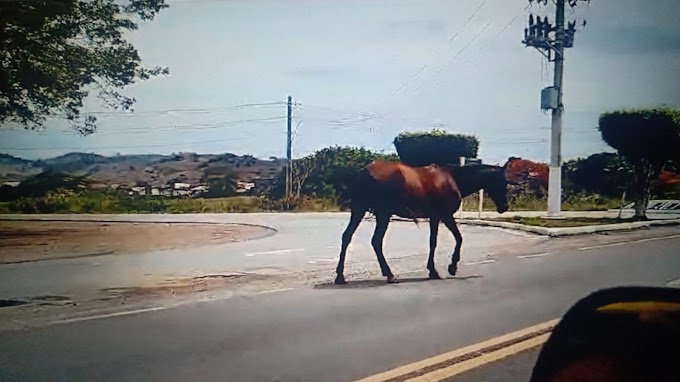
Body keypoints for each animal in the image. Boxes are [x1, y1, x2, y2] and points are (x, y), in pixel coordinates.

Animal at [334, 160, 516, 286]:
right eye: (502, 182)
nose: (505, 207)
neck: (454, 179)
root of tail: (362, 173)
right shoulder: (445, 215)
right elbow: (458, 238)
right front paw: (452, 266)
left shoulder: (435, 217)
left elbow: (432, 242)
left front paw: (433, 270)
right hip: (383, 212)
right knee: (376, 241)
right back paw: (390, 275)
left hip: (360, 209)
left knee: (347, 237)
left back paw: (340, 276)